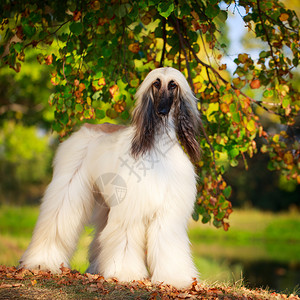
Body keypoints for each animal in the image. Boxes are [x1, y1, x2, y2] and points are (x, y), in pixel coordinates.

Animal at [19, 67, 200, 288]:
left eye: (173, 85)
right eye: (156, 84)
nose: (162, 110)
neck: (157, 146)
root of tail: (87, 126)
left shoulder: (168, 212)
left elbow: (167, 243)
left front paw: (174, 278)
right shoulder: (130, 210)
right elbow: (126, 240)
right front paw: (125, 273)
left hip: (107, 201)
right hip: (69, 185)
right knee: (56, 218)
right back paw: (41, 261)